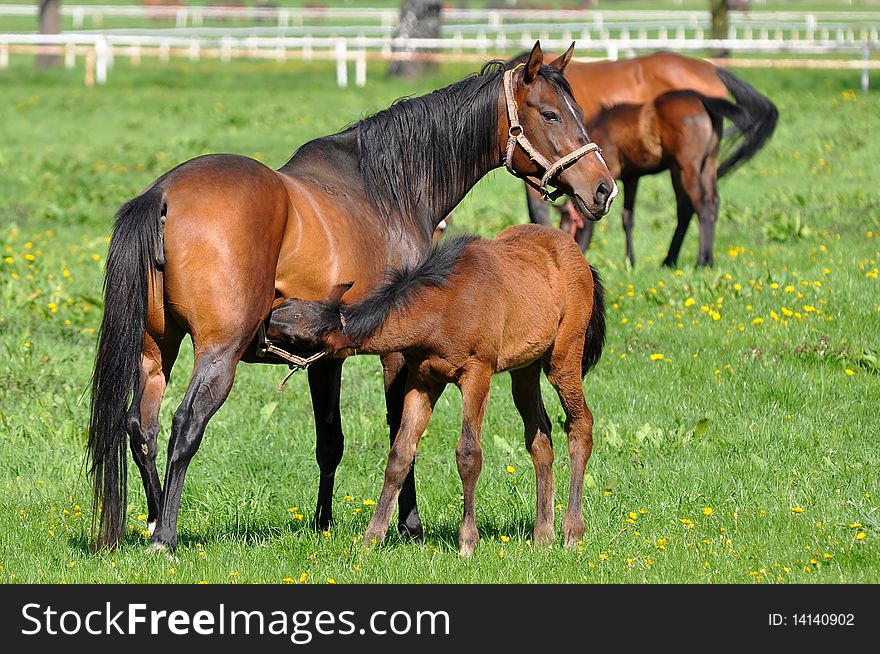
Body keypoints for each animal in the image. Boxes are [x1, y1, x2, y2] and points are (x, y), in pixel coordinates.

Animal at [86, 42, 616, 552]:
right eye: (550, 114)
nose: (603, 188)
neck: (387, 189)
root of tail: (162, 195)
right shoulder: (399, 351)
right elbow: (399, 430)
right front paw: (409, 524)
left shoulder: (325, 357)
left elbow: (330, 440)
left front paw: (323, 522)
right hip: (220, 352)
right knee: (184, 425)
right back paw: (165, 537)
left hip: (155, 350)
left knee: (141, 429)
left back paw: (153, 517)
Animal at [560, 90, 752, 270]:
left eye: (567, 226)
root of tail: (701, 99)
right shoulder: (631, 177)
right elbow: (627, 217)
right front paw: (630, 261)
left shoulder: (611, 173)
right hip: (707, 164)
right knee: (712, 202)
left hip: (687, 167)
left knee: (701, 204)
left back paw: (703, 261)